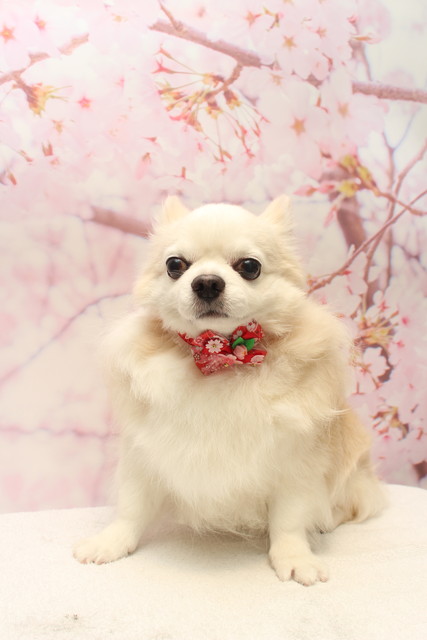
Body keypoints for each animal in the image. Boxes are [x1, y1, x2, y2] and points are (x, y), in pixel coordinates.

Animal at [73, 195, 386, 585]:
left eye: (249, 267)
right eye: (175, 265)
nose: (207, 282)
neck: (221, 358)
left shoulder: (296, 462)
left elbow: (289, 520)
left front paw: (294, 556)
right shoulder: (143, 453)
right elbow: (132, 506)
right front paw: (112, 542)